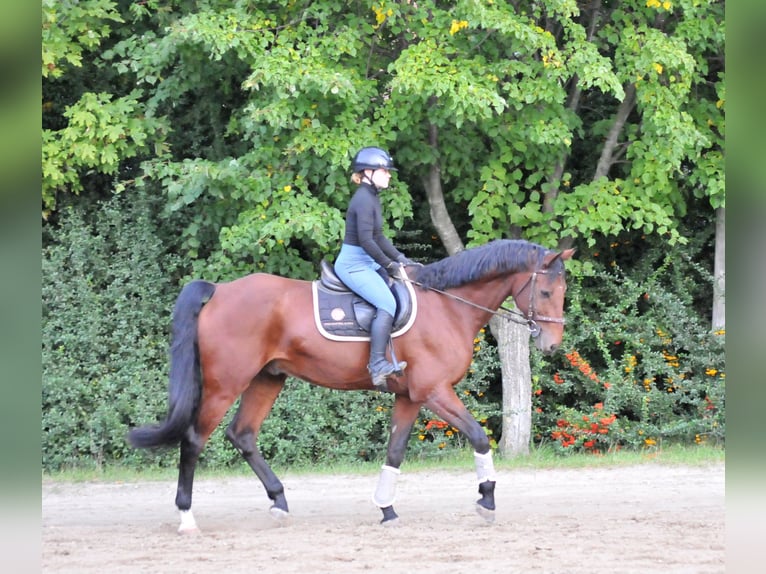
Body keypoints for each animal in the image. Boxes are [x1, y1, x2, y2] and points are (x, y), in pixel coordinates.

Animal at [128, 239, 574, 532]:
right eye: (545, 291)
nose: (552, 345)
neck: (447, 305)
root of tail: (220, 291)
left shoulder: (410, 396)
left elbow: (395, 452)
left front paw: (386, 509)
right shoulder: (434, 392)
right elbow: (480, 437)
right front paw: (487, 498)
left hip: (267, 378)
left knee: (243, 434)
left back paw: (279, 501)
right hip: (226, 383)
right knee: (194, 439)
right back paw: (186, 516)